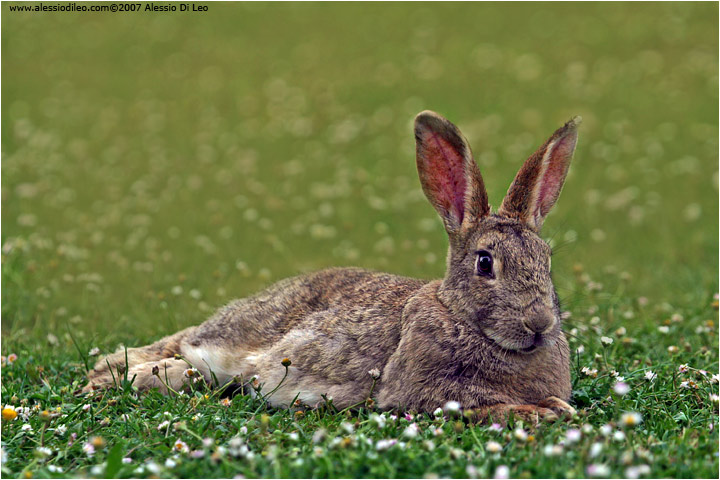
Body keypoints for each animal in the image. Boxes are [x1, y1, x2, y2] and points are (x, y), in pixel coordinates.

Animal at [84, 110, 580, 422]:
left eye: (547, 261)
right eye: (484, 263)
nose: (539, 323)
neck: (460, 316)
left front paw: (555, 406)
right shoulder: (418, 392)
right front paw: (547, 412)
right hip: (233, 340)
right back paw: (107, 377)